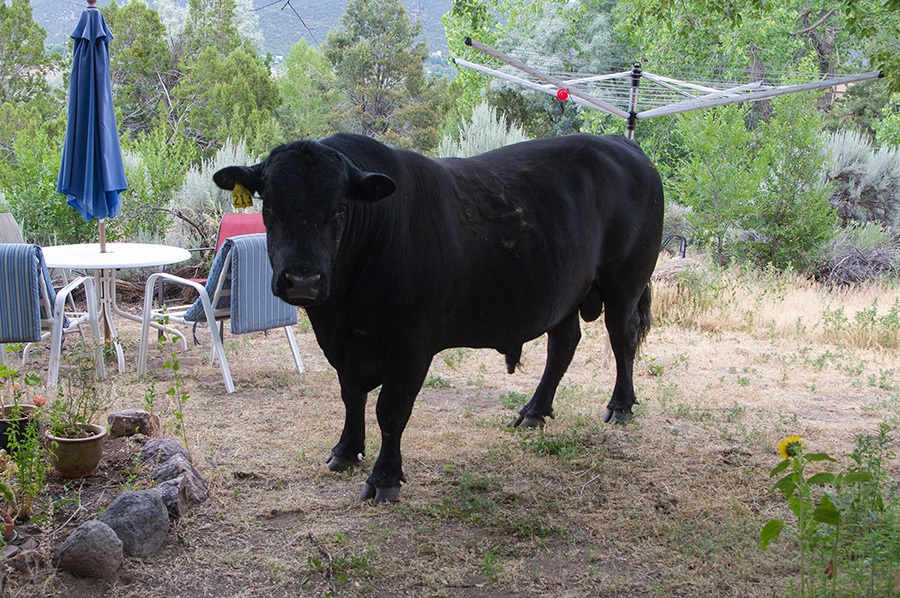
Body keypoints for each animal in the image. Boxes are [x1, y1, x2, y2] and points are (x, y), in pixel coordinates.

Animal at [211, 134, 660, 504]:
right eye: (270, 206)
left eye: (340, 209)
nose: (303, 279)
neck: (344, 308)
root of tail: (622, 143)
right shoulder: (344, 345)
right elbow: (351, 397)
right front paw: (346, 451)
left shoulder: (412, 345)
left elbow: (391, 411)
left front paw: (385, 478)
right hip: (564, 293)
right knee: (563, 344)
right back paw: (534, 411)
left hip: (625, 282)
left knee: (622, 338)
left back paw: (620, 405)